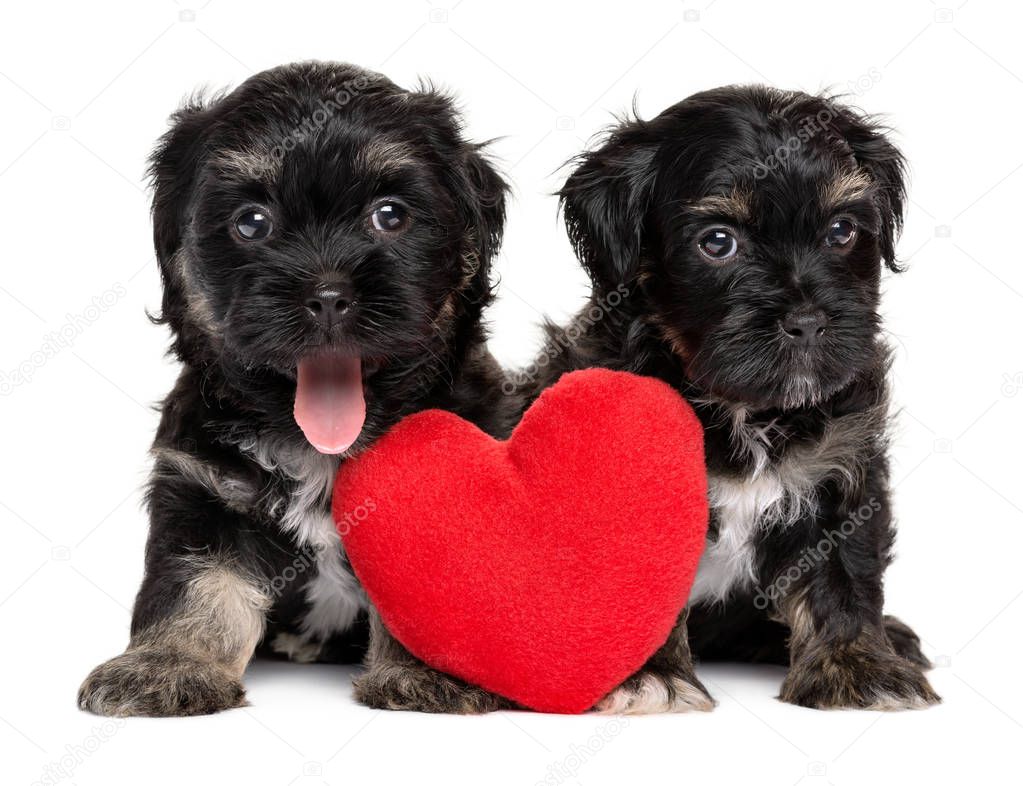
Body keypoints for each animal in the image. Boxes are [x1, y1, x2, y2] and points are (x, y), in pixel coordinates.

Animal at [77, 62, 519, 720]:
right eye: (251, 222)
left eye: (391, 215)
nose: (328, 295)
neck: (321, 449)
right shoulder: (200, 485)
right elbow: (194, 583)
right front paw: (169, 664)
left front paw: (429, 670)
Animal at [527, 85, 941, 712]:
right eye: (718, 242)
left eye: (842, 231)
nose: (807, 321)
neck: (740, 407)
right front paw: (648, 676)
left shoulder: (843, 465)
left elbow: (844, 571)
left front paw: (857, 666)